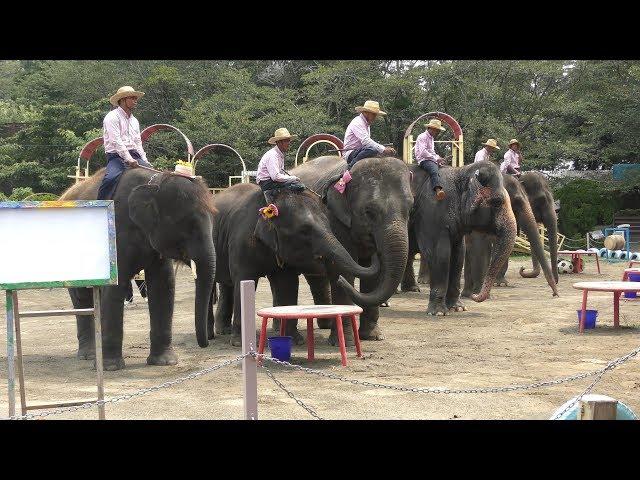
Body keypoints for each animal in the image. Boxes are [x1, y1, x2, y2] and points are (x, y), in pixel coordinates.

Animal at [59, 169, 218, 372]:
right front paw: (111, 367)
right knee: (81, 297)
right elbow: (117, 285)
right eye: (187, 224)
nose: (206, 342)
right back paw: (89, 356)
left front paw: (165, 362)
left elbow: (163, 284)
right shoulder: (118, 232)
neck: (155, 182)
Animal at [210, 183, 380, 344]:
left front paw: (295, 340)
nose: (340, 280)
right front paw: (239, 342)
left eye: (328, 224)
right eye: (304, 231)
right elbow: (244, 279)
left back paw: (224, 331)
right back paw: (218, 334)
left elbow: (287, 283)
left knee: (227, 285)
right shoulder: (242, 241)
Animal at [288, 155, 412, 342]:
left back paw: (326, 324)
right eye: (369, 212)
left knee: (317, 277)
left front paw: (372, 337)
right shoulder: (334, 220)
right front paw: (346, 341)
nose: (378, 252)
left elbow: (374, 276)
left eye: (410, 208)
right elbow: (342, 269)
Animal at [408, 159, 516, 316]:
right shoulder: (431, 213)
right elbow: (439, 254)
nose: (474, 296)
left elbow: (458, 255)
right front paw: (438, 313)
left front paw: (457, 308)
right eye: (497, 202)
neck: (461, 171)